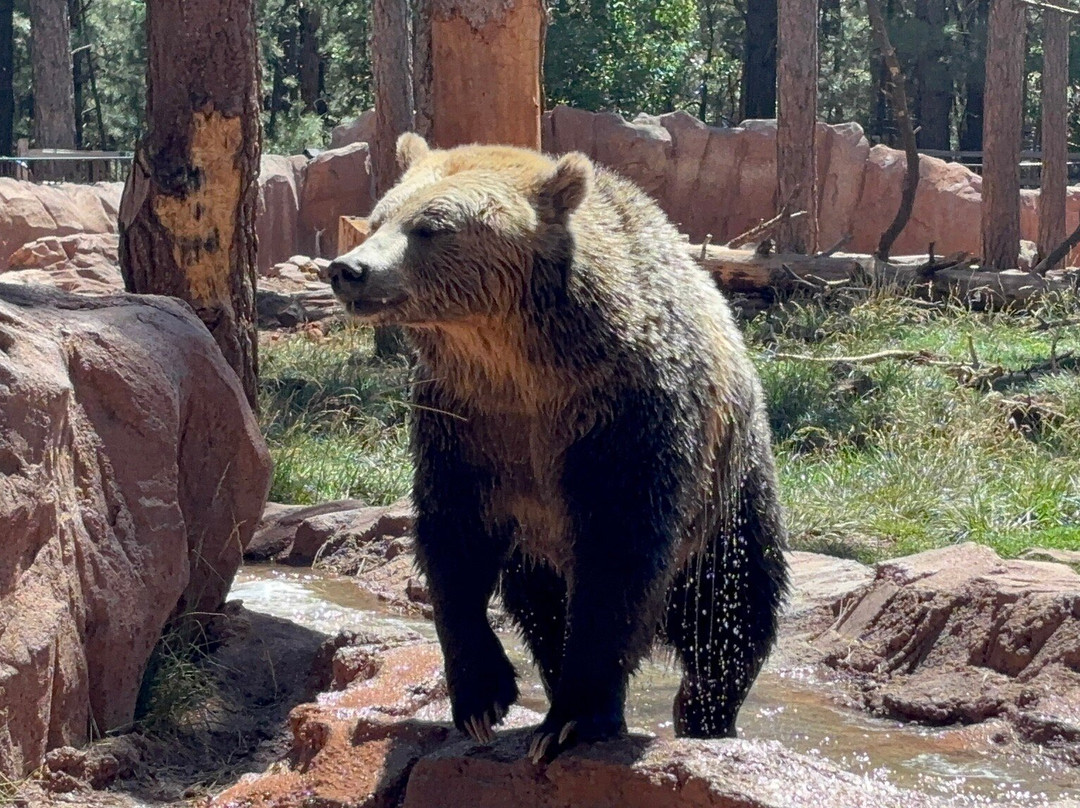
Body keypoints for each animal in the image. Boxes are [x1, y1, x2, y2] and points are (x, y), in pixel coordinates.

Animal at [327, 133, 788, 762]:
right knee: (541, 612)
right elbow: (453, 542)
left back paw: (704, 712)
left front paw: (575, 717)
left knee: (732, 610)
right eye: (378, 218)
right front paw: (481, 697)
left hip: (729, 492)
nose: (348, 269)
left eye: (430, 227)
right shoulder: (464, 423)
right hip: (540, 550)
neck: (517, 360)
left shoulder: (622, 417)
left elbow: (620, 556)